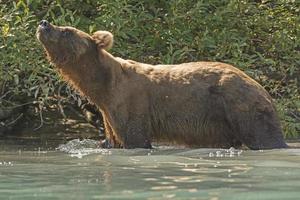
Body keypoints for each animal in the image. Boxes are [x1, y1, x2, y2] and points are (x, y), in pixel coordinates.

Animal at [36, 20, 288, 149]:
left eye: (66, 30)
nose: (44, 23)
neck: (102, 88)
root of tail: (261, 86)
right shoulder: (108, 114)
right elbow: (112, 140)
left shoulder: (131, 103)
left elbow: (135, 138)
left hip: (241, 107)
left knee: (265, 137)